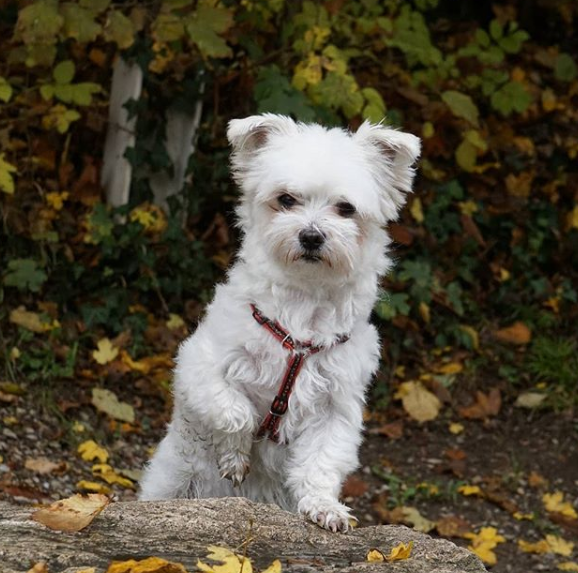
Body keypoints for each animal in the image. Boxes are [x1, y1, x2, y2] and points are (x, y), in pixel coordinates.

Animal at [140, 113, 418, 532]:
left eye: (346, 208)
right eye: (286, 199)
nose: (311, 236)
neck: (302, 312)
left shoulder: (336, 407)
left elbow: (320, 462)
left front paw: (323, 506)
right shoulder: (198, 366)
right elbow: (236, 411)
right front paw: (235, 455)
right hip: (173, 482)